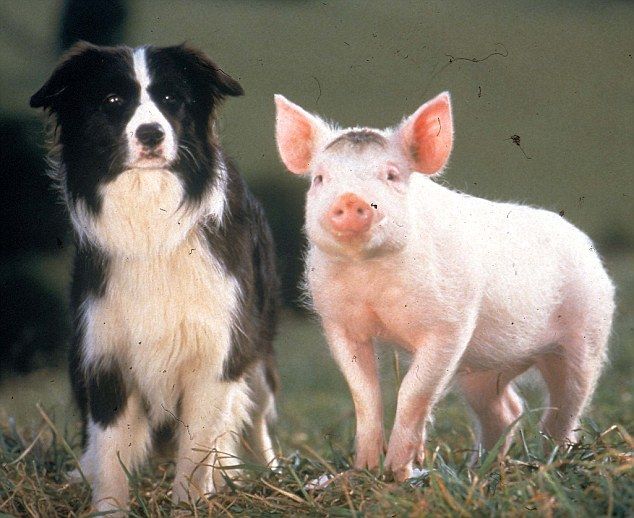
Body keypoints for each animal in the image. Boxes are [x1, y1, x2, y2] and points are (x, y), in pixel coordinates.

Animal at [29, 42, 276, 512]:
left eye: (171, 99)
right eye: (113, 100)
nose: (151, 134)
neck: (151, 226)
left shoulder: (216, 353)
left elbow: (196, 456)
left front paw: (192, 504)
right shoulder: (105, 355)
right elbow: (111, 459)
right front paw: (107, 508)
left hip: (256, 351)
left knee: (255, 415)